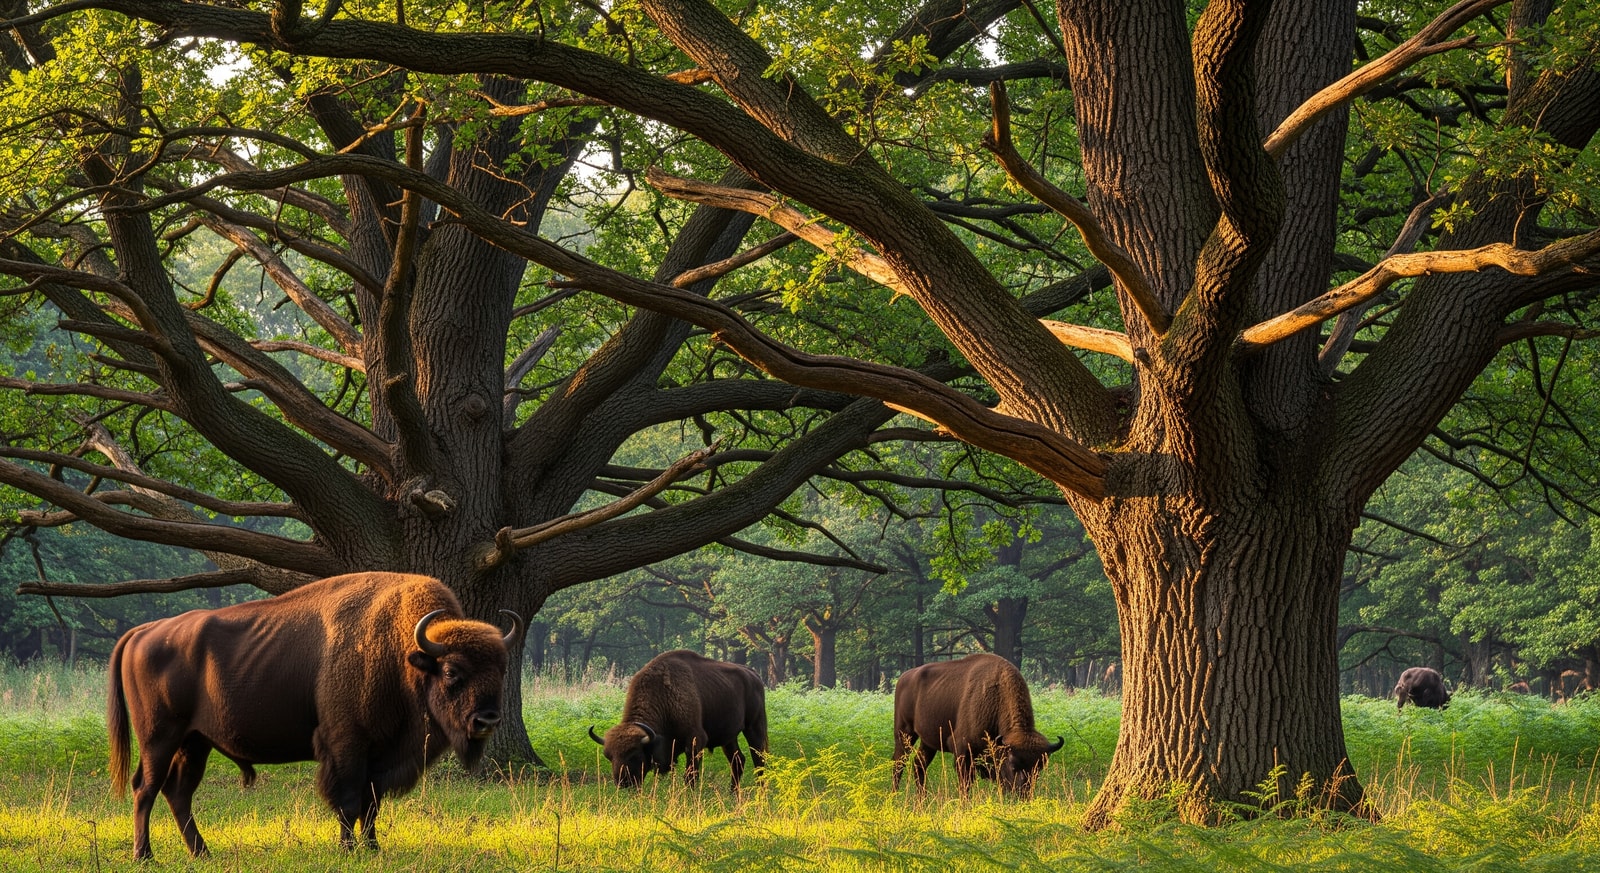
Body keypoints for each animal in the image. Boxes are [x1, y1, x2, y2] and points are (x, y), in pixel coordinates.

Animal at [107, 571, 518, 859]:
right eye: (451, 671)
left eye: (501, 669)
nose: (487, 721)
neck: (401, 654)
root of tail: (142, 631)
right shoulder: (347, 745)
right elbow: (349, 801)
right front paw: (347, 850)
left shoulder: (380, 756)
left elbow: (371, 804)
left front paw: (373, 849)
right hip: (159, 738)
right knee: (146, 789)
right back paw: (145, 856)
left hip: (194, 742)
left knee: (178, 793)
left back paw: (202, 853)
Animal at [589, 649, 767, 791]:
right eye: (609, 756)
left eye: (634, 755)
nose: (623, 783)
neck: (663, 696)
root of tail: (754, 675)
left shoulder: (695, 741)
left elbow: (690, 775)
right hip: (728, 738)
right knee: (738, 761)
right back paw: (733, 794)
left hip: (755, 727)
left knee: (759, 759)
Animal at [893, 653, 1063, 797]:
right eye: (1013, 765)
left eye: (1038, 769)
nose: (1023, 795)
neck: (997, 696)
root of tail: (904, 677)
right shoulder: (963, 752)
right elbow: (966, 785)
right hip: (904, 733)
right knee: (898, 763)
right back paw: (895, 795)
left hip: (928, 742)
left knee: (918, 764)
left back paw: (922, 799)